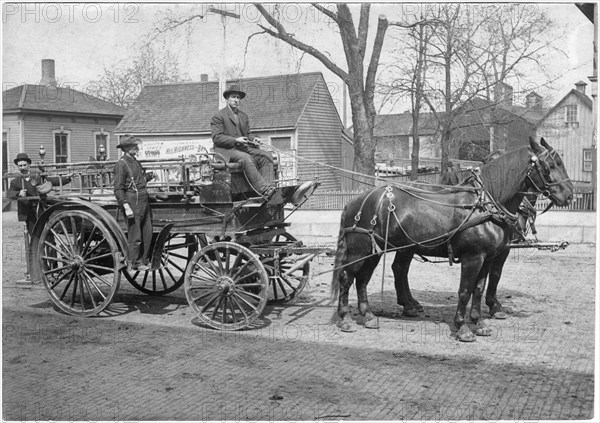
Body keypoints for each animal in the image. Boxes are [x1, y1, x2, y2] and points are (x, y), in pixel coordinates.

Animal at [332, 137, 572, 342]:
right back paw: (346, 319)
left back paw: (370, 315)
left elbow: (478, 289)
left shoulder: (487, 257)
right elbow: (465, 290)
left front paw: (479, 323)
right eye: (551, 165)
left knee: (364, 279)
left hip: (376, 250)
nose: (569, 195)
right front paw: (463, 327)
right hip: (360, 250)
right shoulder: (473, 257)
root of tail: (356, 201)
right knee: (347, 278)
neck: (486, 204)